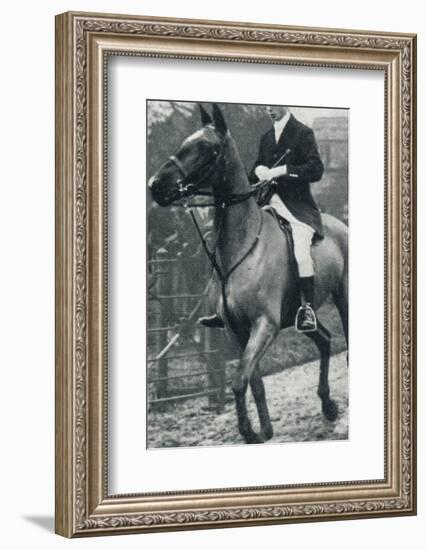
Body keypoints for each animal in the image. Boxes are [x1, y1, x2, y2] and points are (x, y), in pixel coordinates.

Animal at [149, 103, 350, 446]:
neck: (243, 246)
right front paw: (264, 430)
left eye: (207, 148)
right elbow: (252, 380)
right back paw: (328, 405)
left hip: (344, 298)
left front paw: (249, 432)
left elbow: (239, 380)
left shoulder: (264, 325)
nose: (155, 185)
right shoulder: (237, 328)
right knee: (324, 341)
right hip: (301, 313)